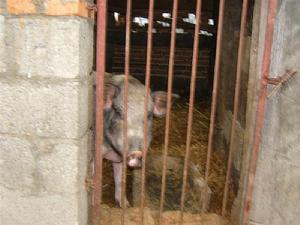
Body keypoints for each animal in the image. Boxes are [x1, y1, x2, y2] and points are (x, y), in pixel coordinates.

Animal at [102, 73, 179, 207]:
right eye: (118, 112)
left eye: (149, 115)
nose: (136, 152)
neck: (111, 151)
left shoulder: (120, 159)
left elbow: (120, 180)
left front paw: (126, 206)